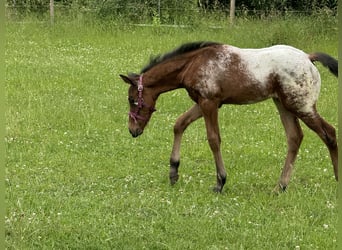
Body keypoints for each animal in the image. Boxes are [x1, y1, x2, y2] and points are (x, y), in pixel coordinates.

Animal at [119, 42, 336, 192]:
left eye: (132, 100)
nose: (133, 130)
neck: (192, 63)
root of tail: (308, 57)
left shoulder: (209, 103)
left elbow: (214, 139)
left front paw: (220, 182)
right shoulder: (205, 103)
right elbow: (179, 124)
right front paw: (173, 172)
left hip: (301, 106)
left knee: (329, 133)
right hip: (283, 104)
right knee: (294, 137)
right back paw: (279, 187)